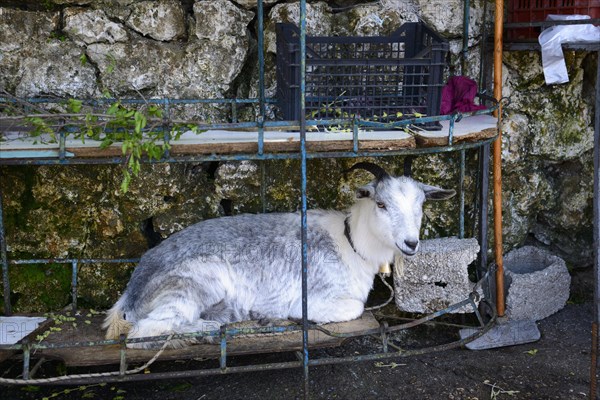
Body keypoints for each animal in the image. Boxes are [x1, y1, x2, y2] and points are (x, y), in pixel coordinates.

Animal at [103, 162, 454, 346]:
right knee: (146, 332)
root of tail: (130, 294)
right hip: (194, 283)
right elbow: (354, 308)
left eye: (421, 205)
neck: (350, 243)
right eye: (381, 203)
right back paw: (212, 328)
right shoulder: (315, 298)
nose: (411, 243)